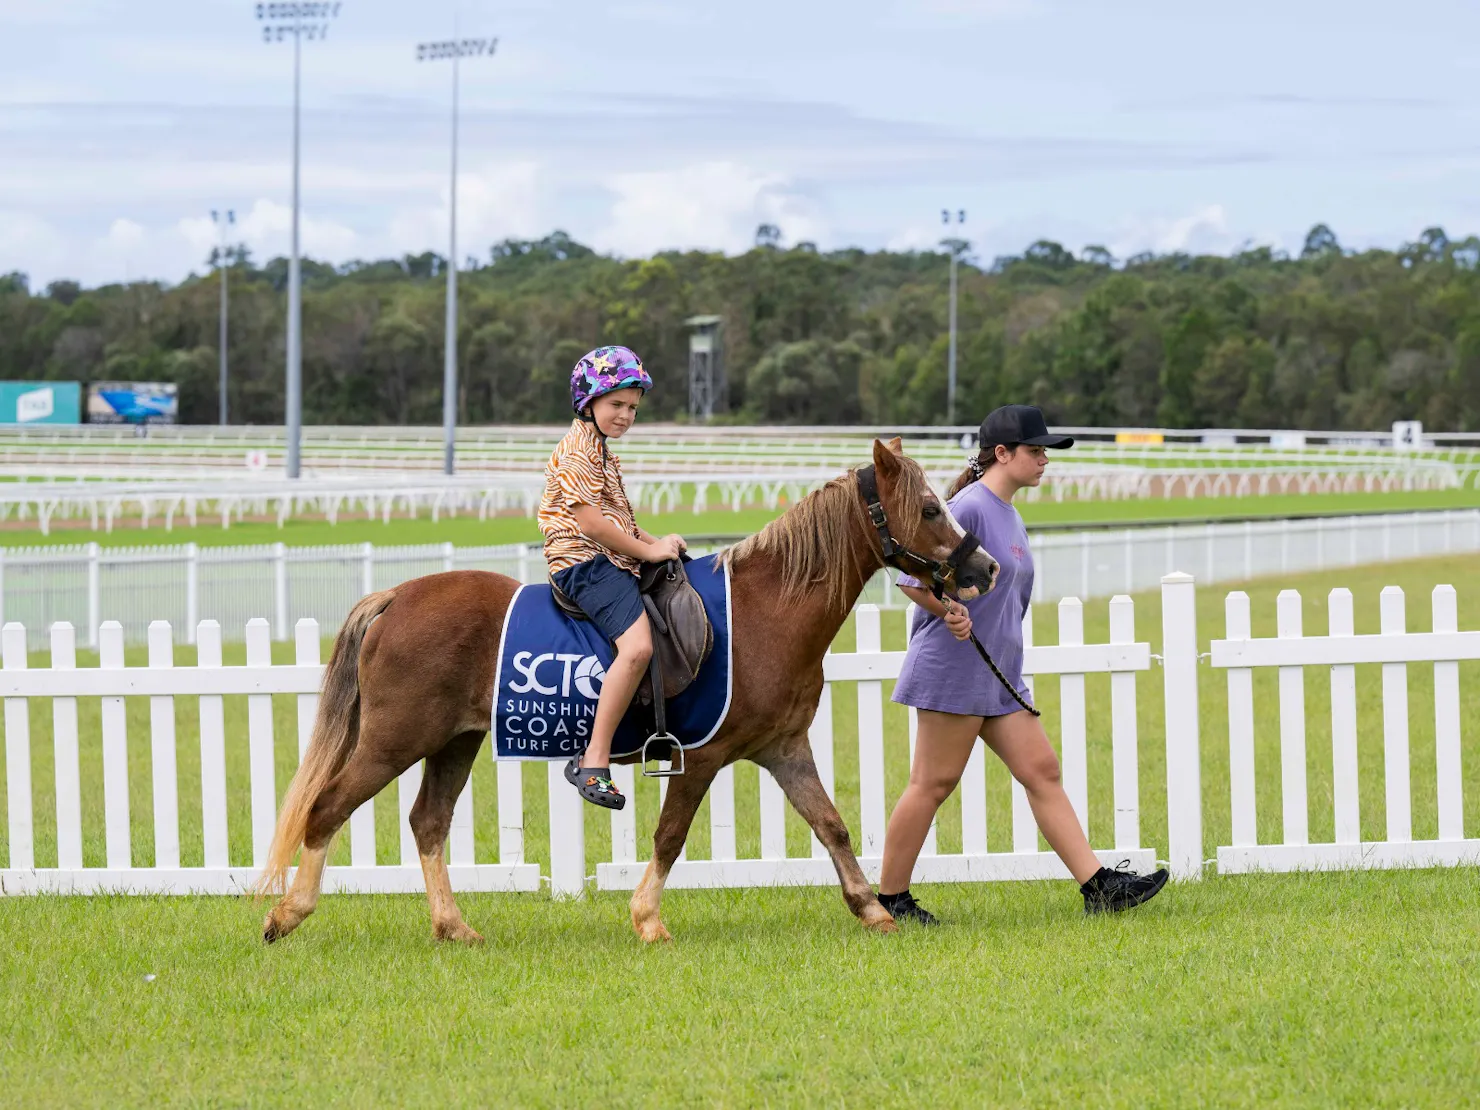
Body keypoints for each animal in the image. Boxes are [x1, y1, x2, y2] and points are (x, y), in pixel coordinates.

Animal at [256, 439, 1000, 944]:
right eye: (929, 507)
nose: (986, 568)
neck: (765, 610)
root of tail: (396, 597)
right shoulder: (702, 757)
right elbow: (671, 834)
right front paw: (647, 918)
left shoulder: (785, 748)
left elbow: (831, 823)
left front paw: (871, 907)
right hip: (394, 741)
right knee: (329, 807)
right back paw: (288, 913)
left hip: (453, 744)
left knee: (427, 823)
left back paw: (453, 925)